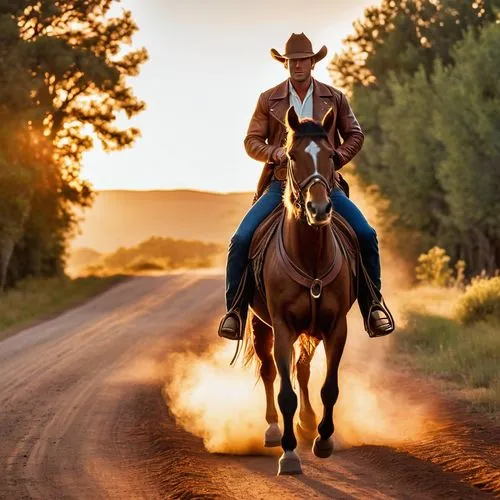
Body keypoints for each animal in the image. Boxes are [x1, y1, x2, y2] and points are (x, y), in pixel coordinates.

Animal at [246, 106, 356, 476]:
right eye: (292, 156)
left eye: (331, 156)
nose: (318, 209)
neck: (309, 257)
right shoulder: (281, 328)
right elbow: (285, 393)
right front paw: (289, 453)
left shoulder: (336, 328)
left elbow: (329, 387)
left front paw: (323, 439)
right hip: (260, 324)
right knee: (268, 371)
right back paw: (271, 429)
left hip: (312, 330)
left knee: (304, 370)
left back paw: (307, 423)